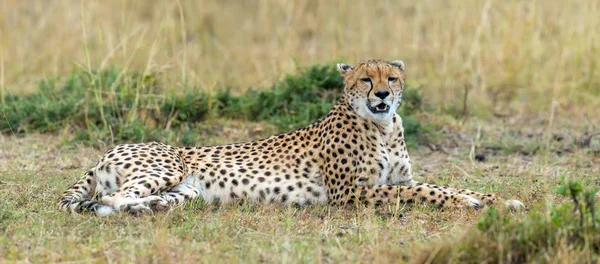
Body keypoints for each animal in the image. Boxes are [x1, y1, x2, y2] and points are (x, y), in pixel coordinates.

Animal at [57, 58, 524, 216]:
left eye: (390, 78)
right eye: (365, 79)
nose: (382, 95)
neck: (384, 127)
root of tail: (107, 150)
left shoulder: (396, 178)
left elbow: (444, 186)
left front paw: (502, 200)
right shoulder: (351, 194)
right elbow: (425, 193)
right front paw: (471, 203)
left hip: (186, 191)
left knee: (123, 199)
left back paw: (151, 207)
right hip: (167, 164)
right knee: (111, 197)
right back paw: (139, 207)